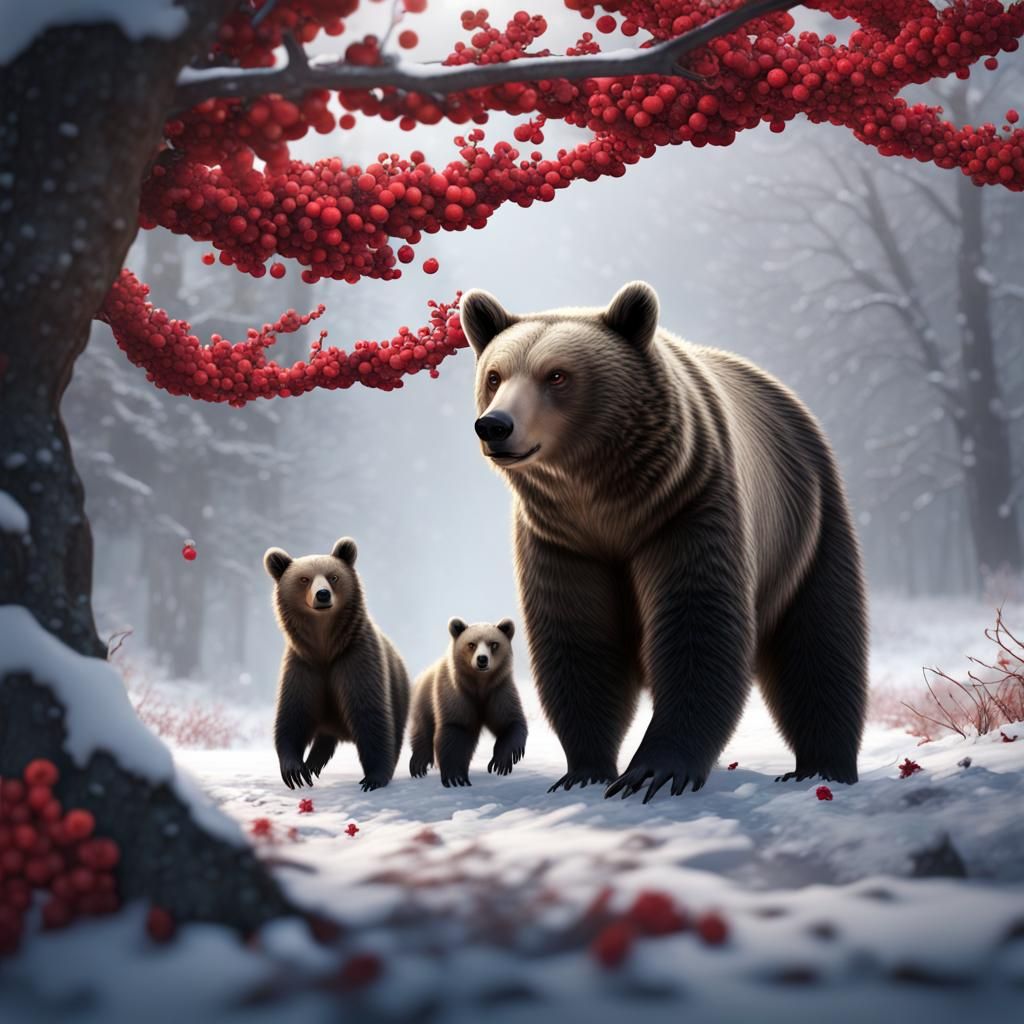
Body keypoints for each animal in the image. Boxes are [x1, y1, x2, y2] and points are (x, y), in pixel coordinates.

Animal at [263, 537, 410, 792]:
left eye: (333, 577)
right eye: (304, 579)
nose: (322, 595)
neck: (325, 647)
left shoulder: (355, 659)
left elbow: (370, 715)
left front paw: (373, 777)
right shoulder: (304, 665)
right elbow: (293, 714)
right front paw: (294, 771)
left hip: (398, 691)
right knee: (324, 737)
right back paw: (312, 764)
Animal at [408, 617, 527, 787]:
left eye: (494, 644)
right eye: (471, 644)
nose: (482, 659)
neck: (480, 685)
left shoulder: (499, 690)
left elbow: (509, 721)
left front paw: (501, 761)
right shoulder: (455, 691)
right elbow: (457, 728)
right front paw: (456, 777)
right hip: (424, 700)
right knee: (423, 728)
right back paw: (419, 763)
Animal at [459, 280, 869, 803]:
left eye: (557, 375)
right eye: (495, 375)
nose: (495, 425)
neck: (606, 500)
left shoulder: (688, 508)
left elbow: (699, 626)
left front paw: (652, 771)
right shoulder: (562, 540)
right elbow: (578, 640)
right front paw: (585, 769)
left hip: (810, 523)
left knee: (820, 643)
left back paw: (822, 766)